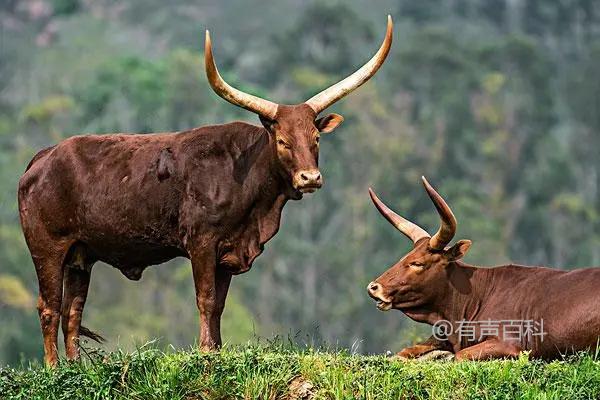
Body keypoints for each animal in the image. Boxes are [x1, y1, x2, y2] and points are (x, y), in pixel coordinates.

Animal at [17, 16, 394, 366]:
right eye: (283, 141)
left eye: (315, 138)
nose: (310, 178)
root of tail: (43, 158)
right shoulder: (201, 242)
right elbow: (206, 299)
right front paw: (204, 352)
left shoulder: (228, 250)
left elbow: (220, 306)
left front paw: (216, 350)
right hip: (47, 247)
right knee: (49, 307)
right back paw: (53, 369)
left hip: (81, 255)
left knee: (73, 310)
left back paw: (74, 368)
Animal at [366, 177, 600, 360]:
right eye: (405, 257)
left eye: (417, 263)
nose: (373, 287)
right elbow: (403, 353)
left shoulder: (510, 344)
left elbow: (459, 356)